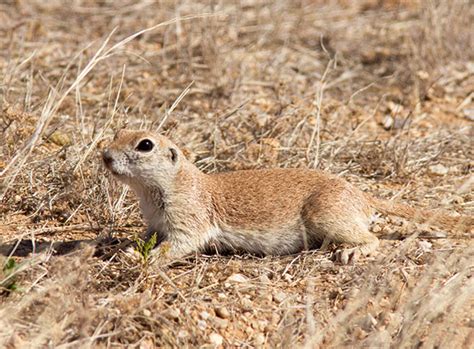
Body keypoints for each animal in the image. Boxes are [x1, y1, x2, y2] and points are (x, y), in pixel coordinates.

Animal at [102, 129, 472, 262]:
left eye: (145, 145)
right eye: (119, 132)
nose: (104, 156)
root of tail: (362, 196)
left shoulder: (188, 218)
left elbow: (179, 244)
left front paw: (142, 260)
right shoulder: (154, 223)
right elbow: (144, 236)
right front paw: (123, 247)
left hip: (327, 214)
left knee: (373, 238)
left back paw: (350, 252)